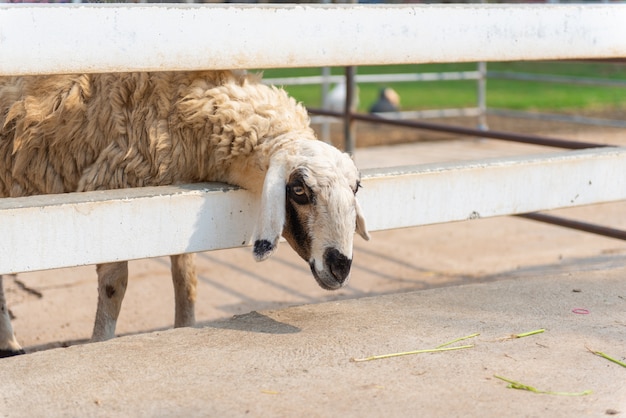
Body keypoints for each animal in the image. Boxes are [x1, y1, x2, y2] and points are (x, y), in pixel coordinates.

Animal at [0, 69, 368, 356]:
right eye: (299, 190)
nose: (341, 267)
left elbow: (186, 279)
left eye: (356, 188)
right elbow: (115, 288)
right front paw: (100, 341)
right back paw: (11, 344)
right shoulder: (108, 192)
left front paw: (185, 326)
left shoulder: (178, 202)